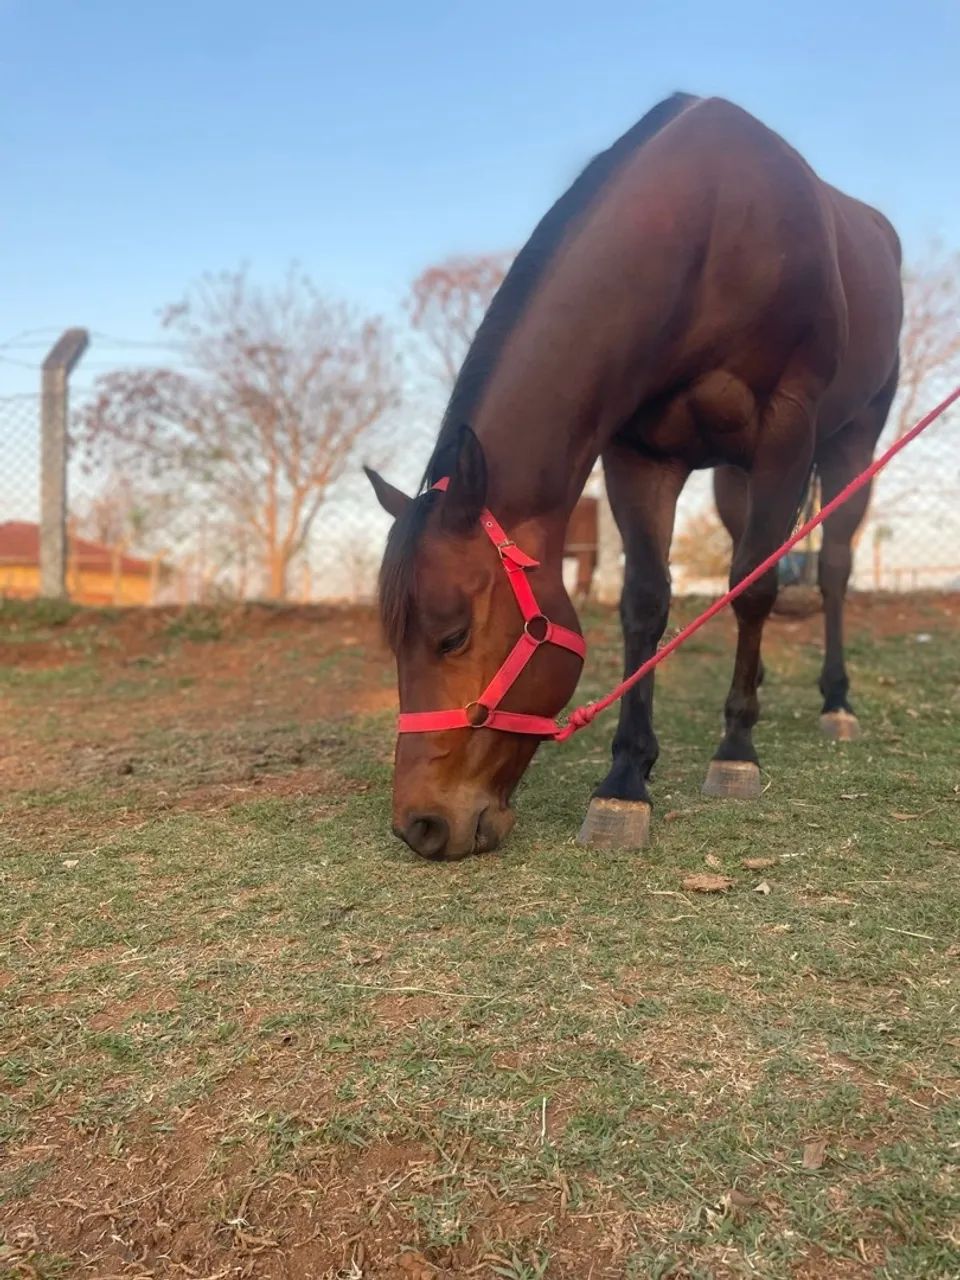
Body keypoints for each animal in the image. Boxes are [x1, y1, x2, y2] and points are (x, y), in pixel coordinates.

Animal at [366, 92, 902, 860]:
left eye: (452, 636)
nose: (422, 825)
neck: (712, 230)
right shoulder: (637, 452)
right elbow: (646, 600)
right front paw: (625, 777)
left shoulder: (786, 428)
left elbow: (755, 589)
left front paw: (735, 751)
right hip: (735, 476)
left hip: (850, 441)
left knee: (829, 567)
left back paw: (834, 700)